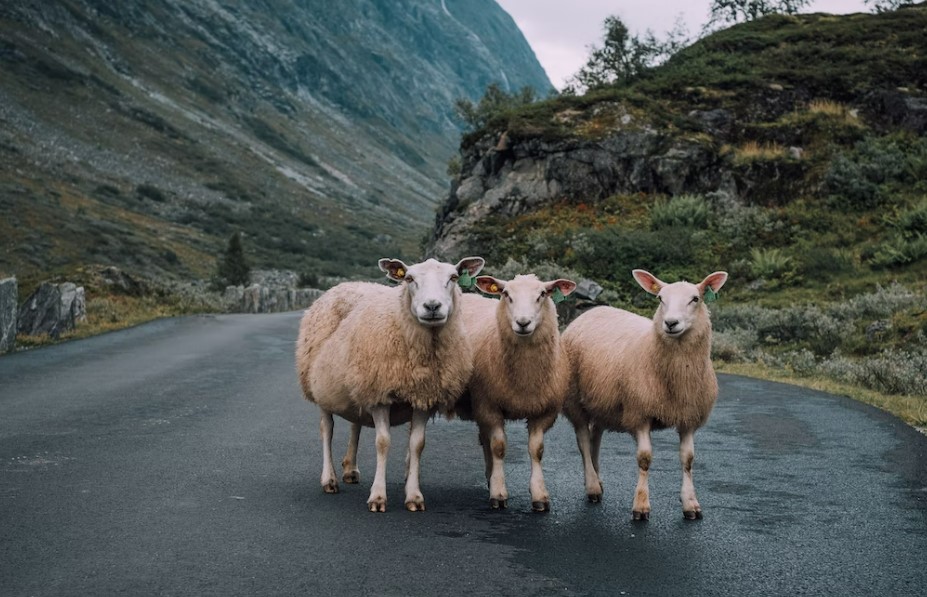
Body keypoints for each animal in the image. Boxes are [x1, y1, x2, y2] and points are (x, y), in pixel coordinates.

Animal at [298, 254, 486, 510]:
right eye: (409, 278)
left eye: (454, 277)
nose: (432, 306)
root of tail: (347, 284)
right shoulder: (380, 396)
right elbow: (383, 442)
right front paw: (378, 496)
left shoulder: (423, 396)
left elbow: (417, 444)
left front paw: (414, 496)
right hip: (321, 387)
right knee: (327, 429)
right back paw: (329, 479)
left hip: (358, 383)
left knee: (355, 424)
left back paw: (350, 469)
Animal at [460, 274, 576, 512]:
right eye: (506, 294)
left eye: (542, 294)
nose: (523, 322)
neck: (526, 377)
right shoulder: (489, 405)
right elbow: (498, 447)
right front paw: (498, 493)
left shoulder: (544, 410)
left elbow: (536, 450)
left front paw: (540, 495)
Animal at [560, 268, 728, 520]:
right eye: (660, 299)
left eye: (695, 299)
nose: (670, 323)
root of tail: (594, 310)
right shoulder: (640, 413)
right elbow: (645, 459)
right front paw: (640, 506)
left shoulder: (688, 417)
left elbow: (688, 460)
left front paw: (691, 504)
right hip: (575, 401)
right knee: (583, 441)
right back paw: (592, 487)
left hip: (602, 402)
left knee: (595, 438)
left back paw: (598, 480)